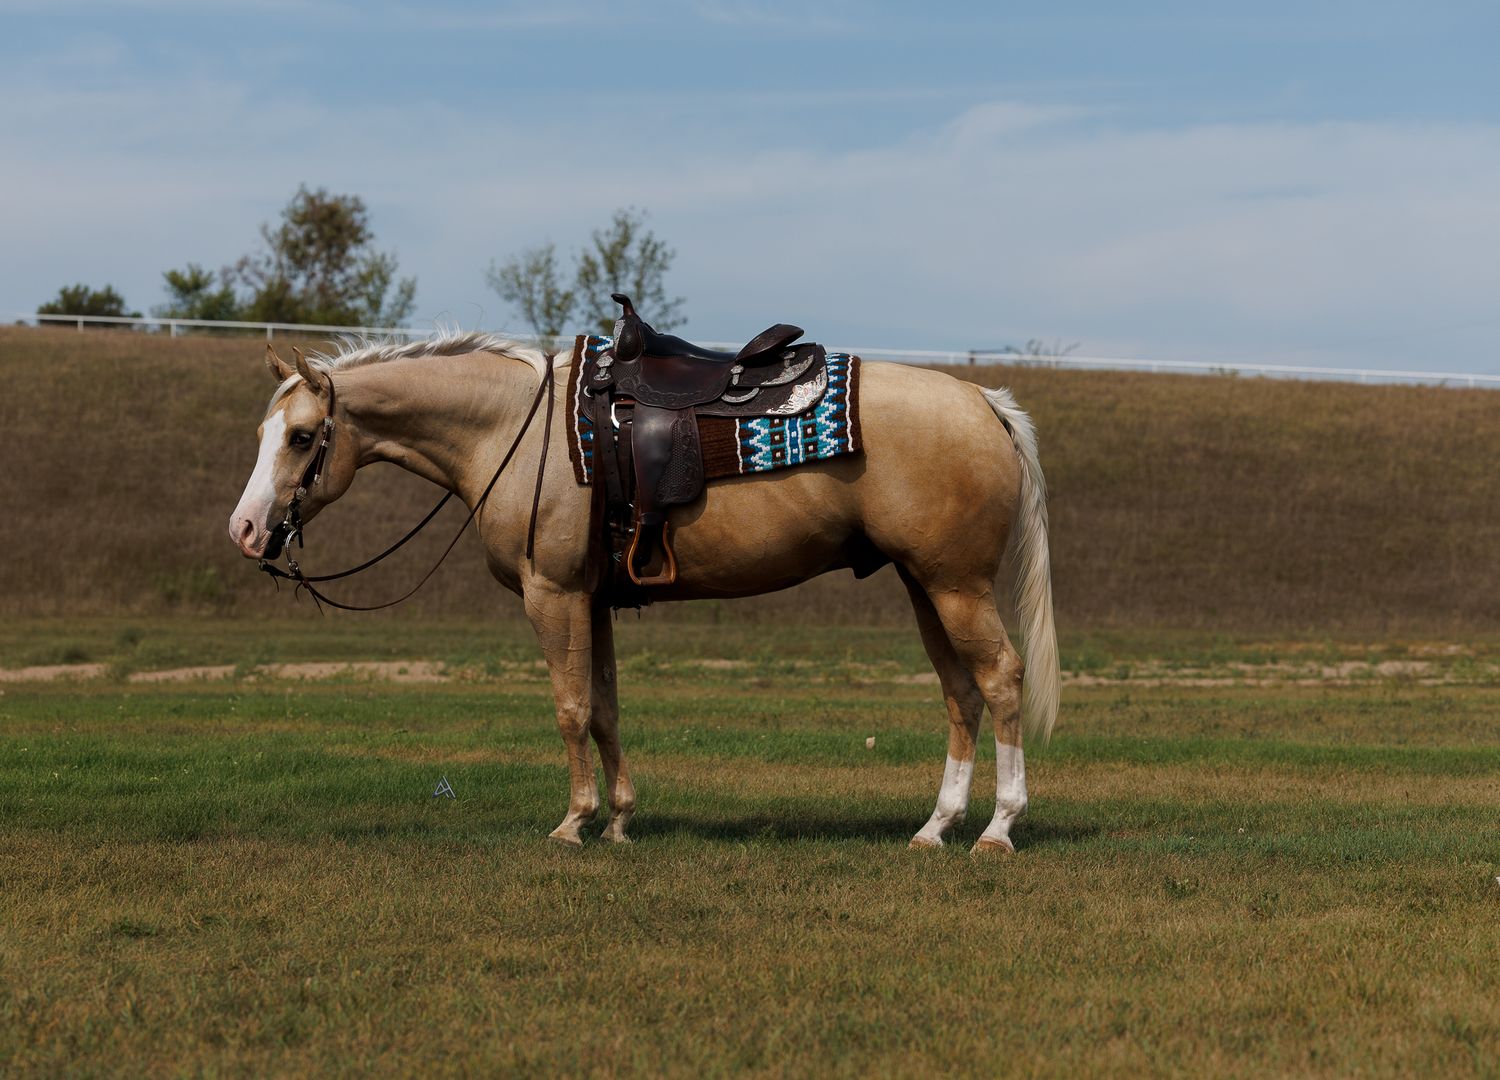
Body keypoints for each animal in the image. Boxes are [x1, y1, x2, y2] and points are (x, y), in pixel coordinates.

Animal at [228, 331, 1059, 852]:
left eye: (301, 436)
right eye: (264, 434)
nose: (245, 528)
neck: (513, 430)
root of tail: (982, 400)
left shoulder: (553, 594)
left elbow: (569, 709)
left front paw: (575, 822)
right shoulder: (592, 601)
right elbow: (604, 709)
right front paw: (621, 821)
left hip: (956, 585)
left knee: (1001, 678)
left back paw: (998, 828)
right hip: (927, 586)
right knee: (960, 692)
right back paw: (936, 827)